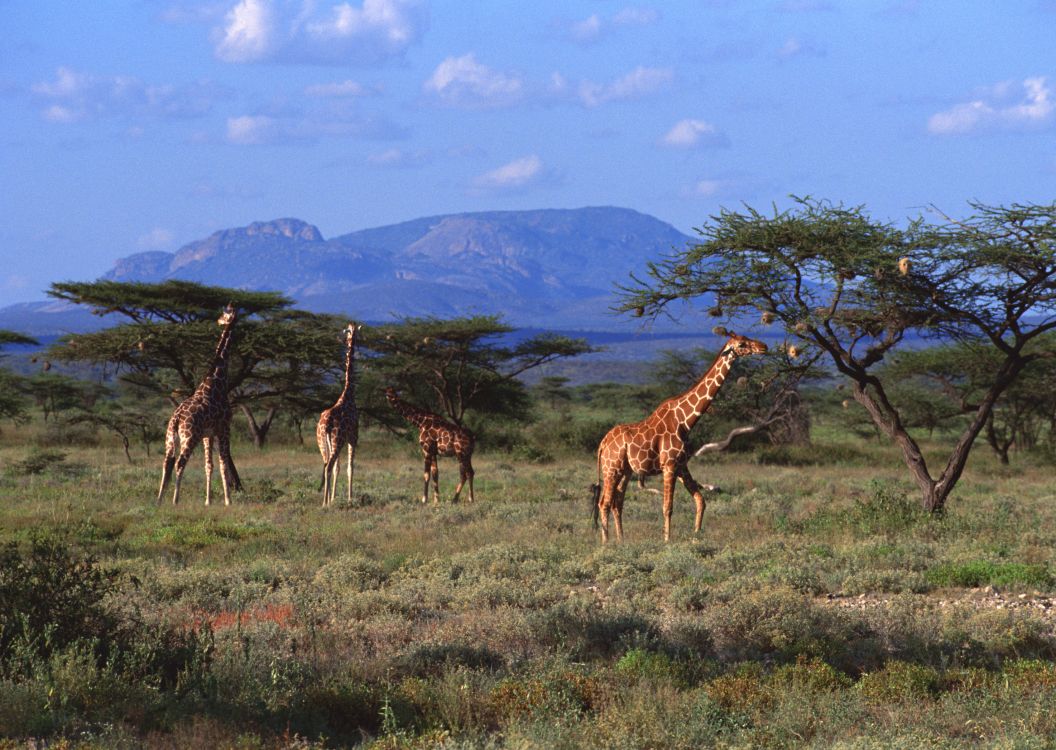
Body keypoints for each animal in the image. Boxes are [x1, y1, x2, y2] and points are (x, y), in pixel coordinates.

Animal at [156, 303, 243, 506]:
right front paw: (228, 501)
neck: (216, 381)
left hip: (170, 438)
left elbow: (209, 465)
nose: (218, 321)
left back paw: (159, 500)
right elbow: (223, 463)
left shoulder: (208, 434)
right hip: (190, 437)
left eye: (225, 313)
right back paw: (175, 500)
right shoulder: (224, 428)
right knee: (180, 463)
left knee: (167, 462)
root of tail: (177, 418)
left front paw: (208, 501)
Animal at [592, 331, 768, 543]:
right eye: (742, 344)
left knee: (617, 502)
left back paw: (621, 540)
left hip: (626, 471)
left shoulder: (682, 465)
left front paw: (696, 535)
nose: (764, 347)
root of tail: (603, 443)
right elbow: (668, 507)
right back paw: (606, 543)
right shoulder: (669, 465)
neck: (685, 421)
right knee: (604, 503)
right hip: (611, 468)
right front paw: (667, 540)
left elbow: (701, 500)